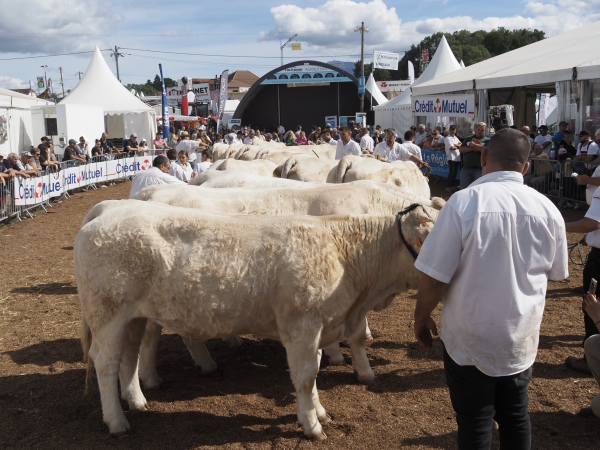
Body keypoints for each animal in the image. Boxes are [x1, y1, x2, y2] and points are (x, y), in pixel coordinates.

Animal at [76, 200, 432, 440]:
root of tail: (110, 208)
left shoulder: (318, 327)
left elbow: (315, 371)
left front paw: (319, 411)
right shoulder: (301, 325)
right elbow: (305, 376)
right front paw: (311, 424)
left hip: (133, 316)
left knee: (130, 355)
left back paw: (136, 400)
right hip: (107, 313)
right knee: (106, 363)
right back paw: (117, 422)